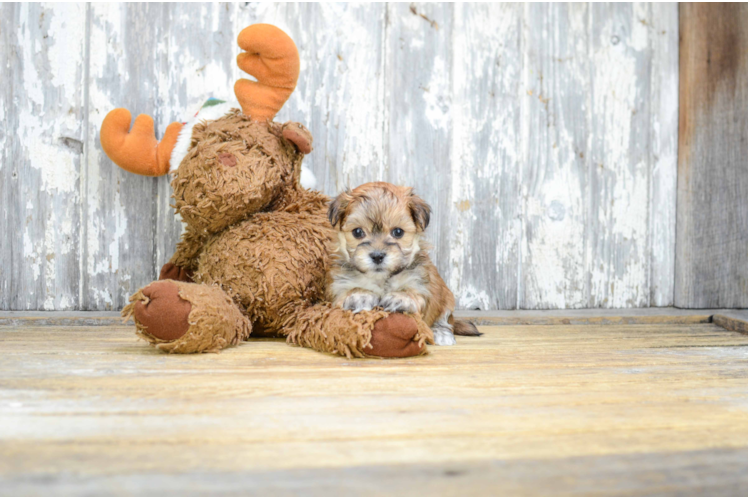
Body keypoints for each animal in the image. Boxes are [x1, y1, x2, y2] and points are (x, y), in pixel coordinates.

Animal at [326, 182, 480, 346]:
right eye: (357, 232)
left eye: (398, 232)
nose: (377, 256)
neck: (381, 278)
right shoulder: (339, 287)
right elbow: (349, 292)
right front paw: (359, 295)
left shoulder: (420, 284)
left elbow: (412, 293)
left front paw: (400, 297)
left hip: (446, 297)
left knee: (444, 319)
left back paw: (441, 333)